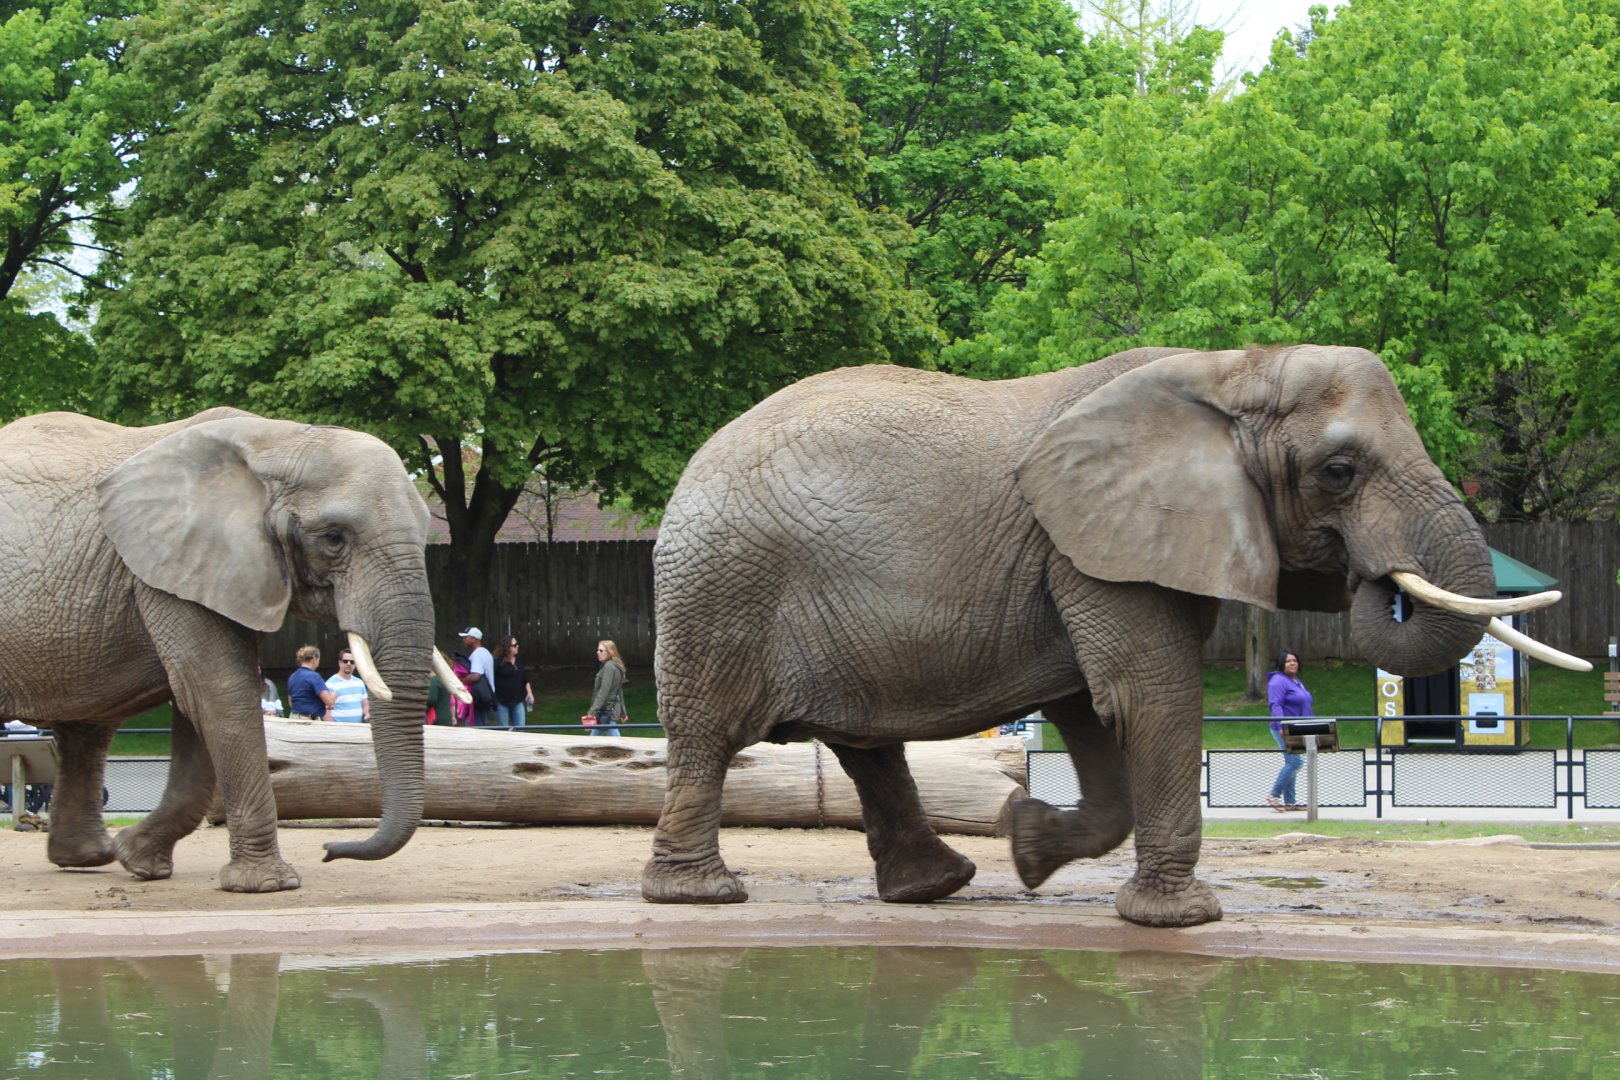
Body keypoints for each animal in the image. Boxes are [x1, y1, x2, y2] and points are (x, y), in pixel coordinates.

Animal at [0, 407, 459, 891]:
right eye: (334, 537)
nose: (329, 849)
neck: (279, 440)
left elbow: (199, 705)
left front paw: (138, 859)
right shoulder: (173, 567)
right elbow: (220, 692)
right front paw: (268, 884)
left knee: (89, 728)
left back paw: (89, 857)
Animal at [643, 345, 1578, 927]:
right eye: (1339, 473)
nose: (1373, 578)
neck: (1232, 368)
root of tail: (692, 468)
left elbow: (1092, 711)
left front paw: (1026, 843)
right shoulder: (1096, 548)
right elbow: (1143, 696)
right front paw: (1180, 920)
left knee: (864, 747)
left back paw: (936, 888)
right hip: (723, 591)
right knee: (711, 735)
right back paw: (699, 898)